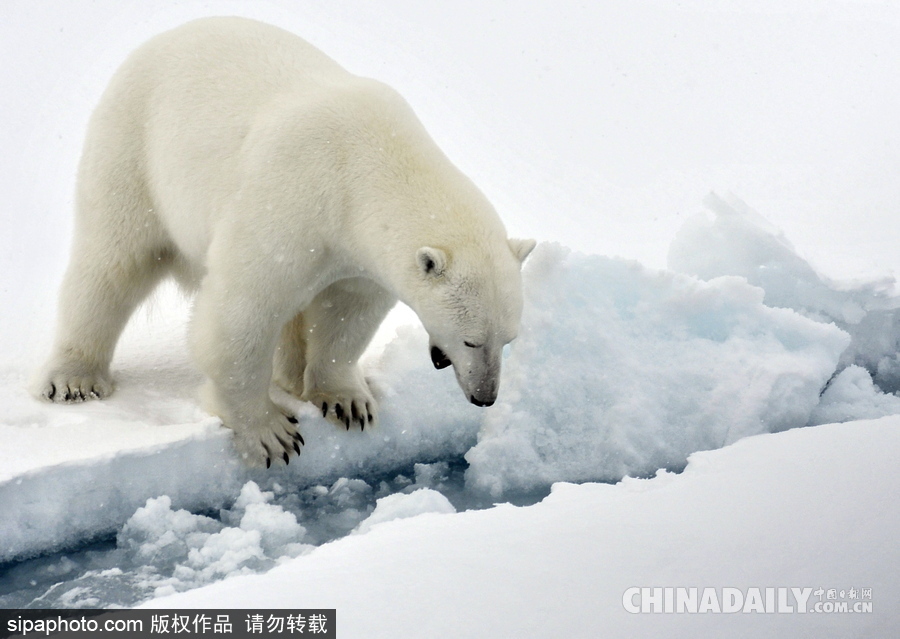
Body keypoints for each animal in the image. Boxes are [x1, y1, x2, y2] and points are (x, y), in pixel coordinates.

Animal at [37, 17, 536, 468]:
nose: (485, 397)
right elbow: (241, 312)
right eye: (471, 340)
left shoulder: (353, 251)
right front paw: (270, 433)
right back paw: (73, 379)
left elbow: (346, 311)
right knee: (112, 263)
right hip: (133, 146)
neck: (370, 167)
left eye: (509, 339)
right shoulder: (293, 199)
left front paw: (347, 401)